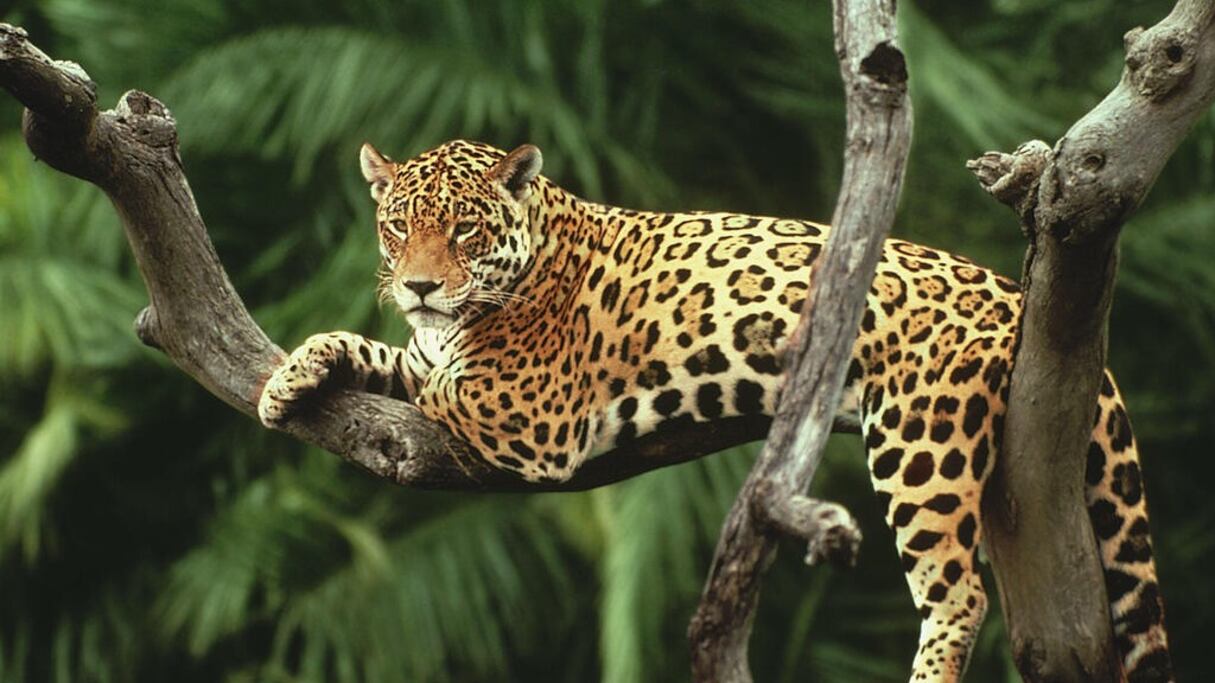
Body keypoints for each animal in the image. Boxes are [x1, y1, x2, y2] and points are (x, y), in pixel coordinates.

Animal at [258, 139, 1174, 682]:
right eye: (396, 226)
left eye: (463, 231)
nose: (418, 284)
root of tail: (1013, 294)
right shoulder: (429, 352)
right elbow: (379, 352)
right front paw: (287, 378)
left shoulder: (533, 410)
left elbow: (442, 383)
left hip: (923, 443)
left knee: (957, 593)